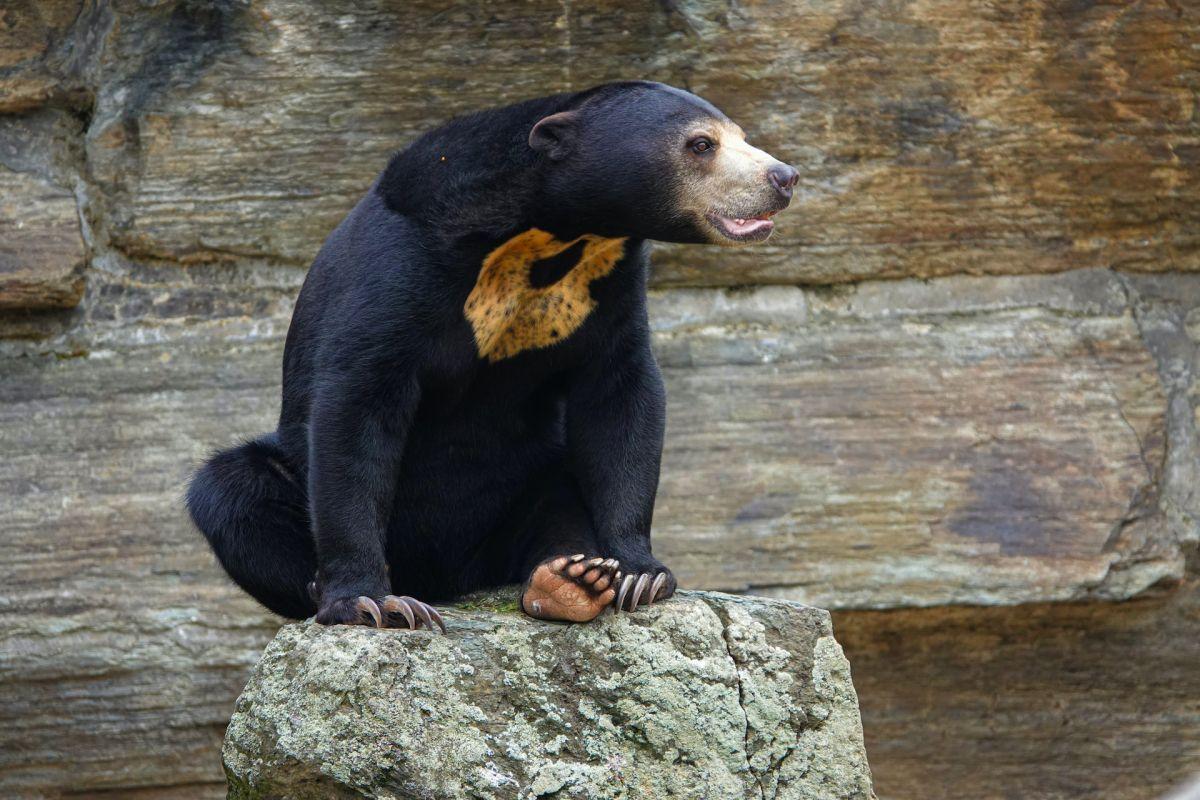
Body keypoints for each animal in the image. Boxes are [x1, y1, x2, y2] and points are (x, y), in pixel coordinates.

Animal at [187, 81, 796, 633]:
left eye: (742, 137)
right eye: (701, 144)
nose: (784, 178)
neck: (554, 234)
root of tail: (452, 578)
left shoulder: (609, 283)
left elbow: (622, 395)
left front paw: (638, 574)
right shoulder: (398, 268)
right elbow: (356, 405)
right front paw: (370, 603)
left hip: (524, 479)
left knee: (555, 494)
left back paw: (569, 581)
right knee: (232, 490)